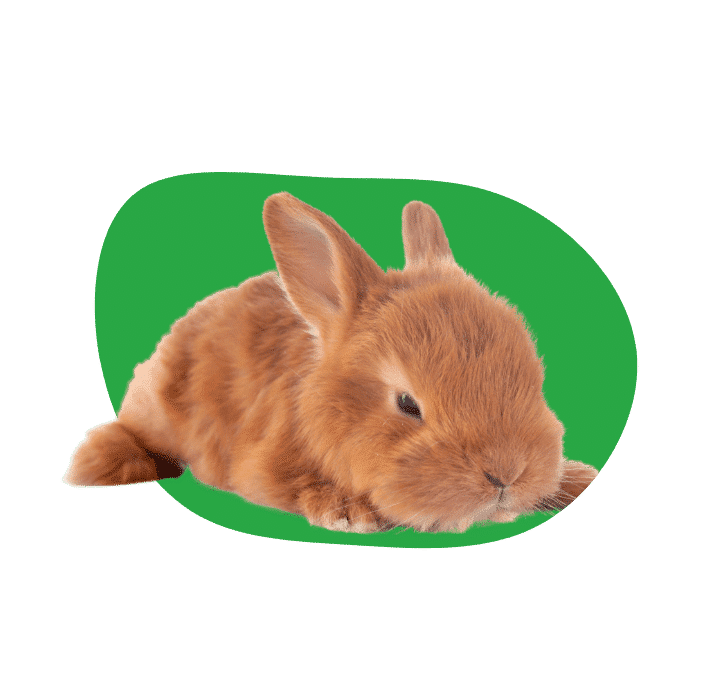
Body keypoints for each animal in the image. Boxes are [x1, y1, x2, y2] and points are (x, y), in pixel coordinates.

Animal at [64, 192, 598, 533]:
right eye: (408, 404)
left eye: (533, 378)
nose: (507, 475)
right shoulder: (263, 464)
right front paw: (349, 512)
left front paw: (578, 479)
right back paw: (101, 464)